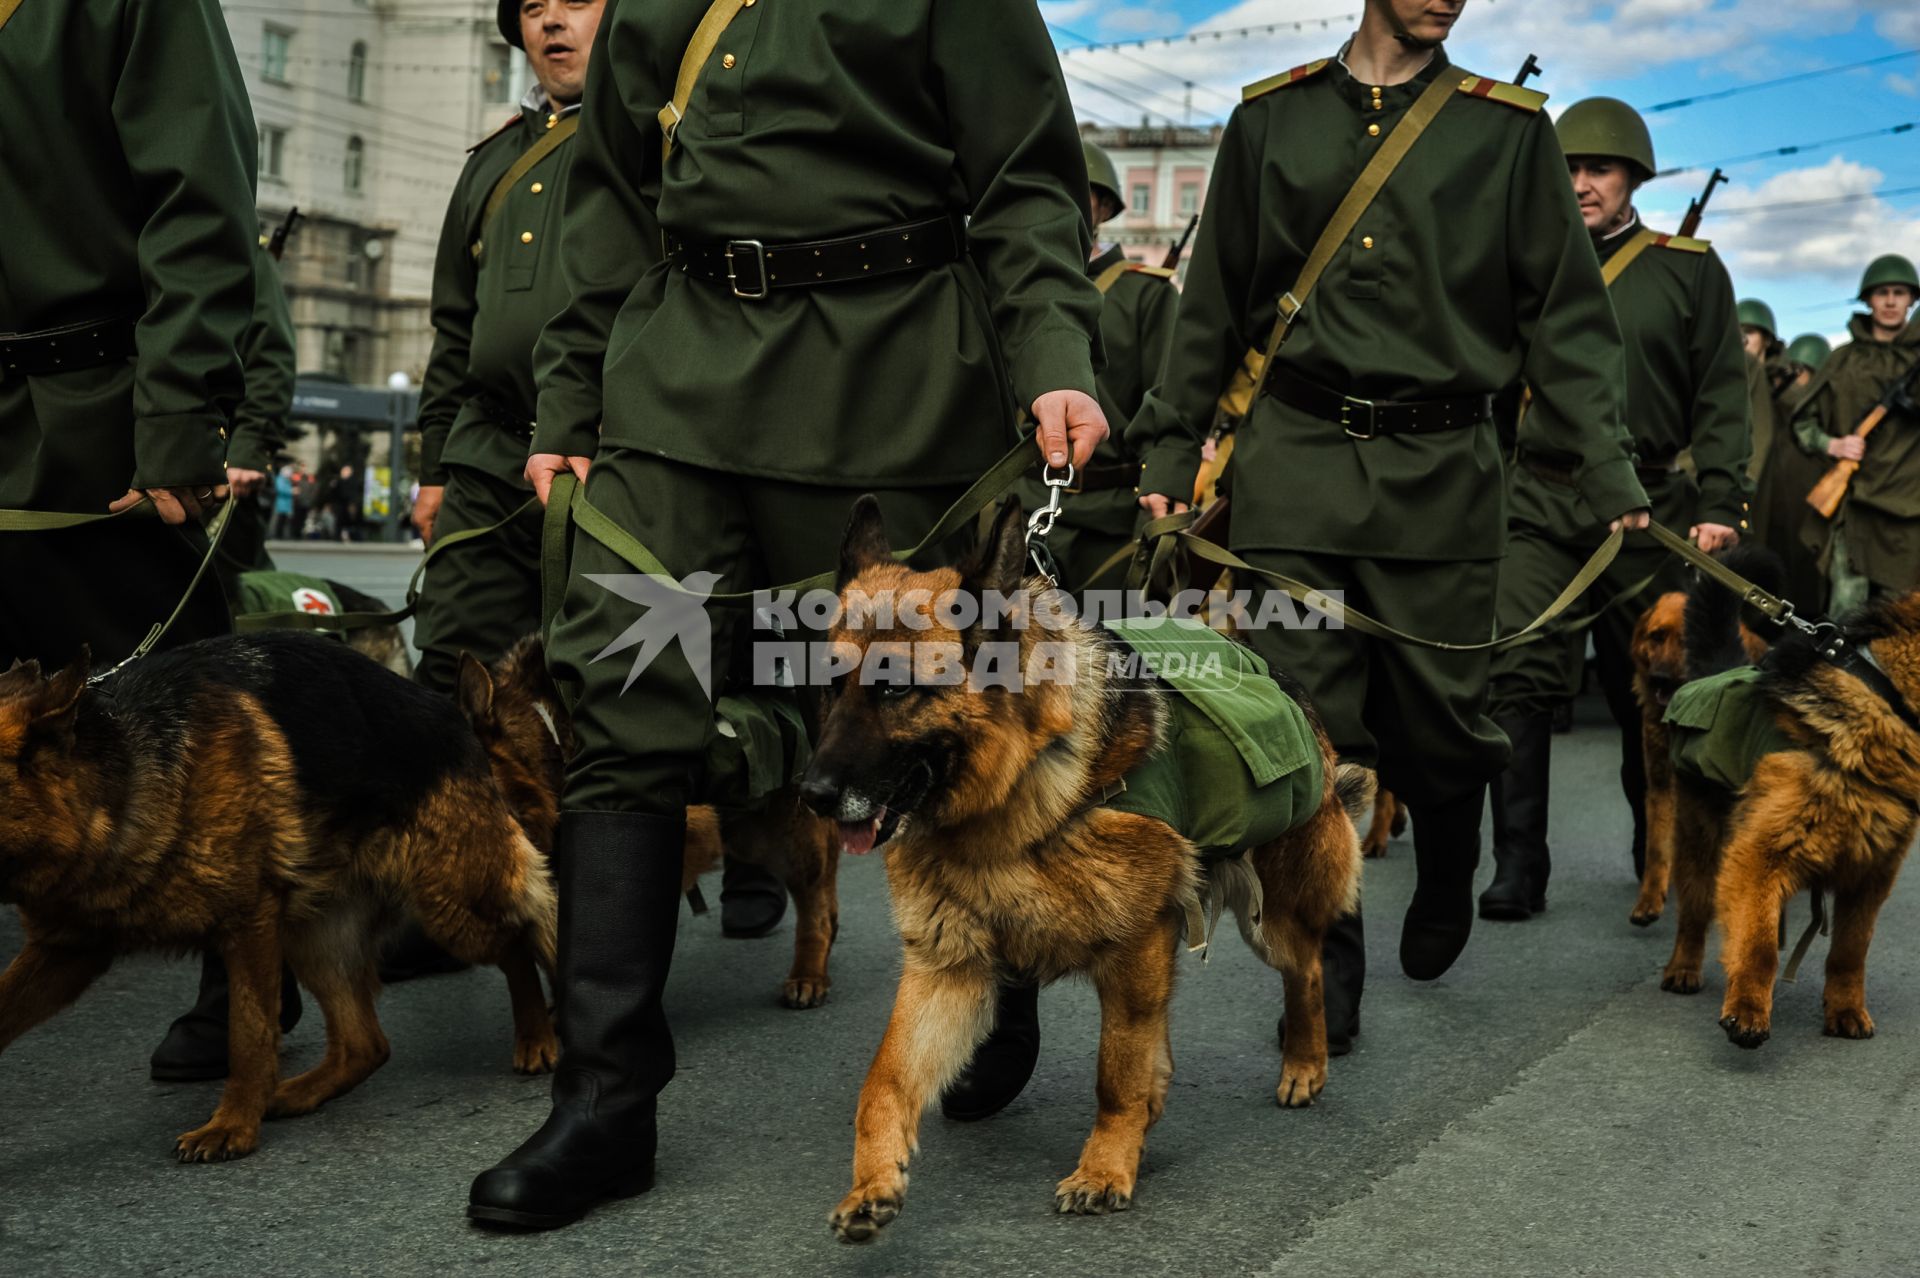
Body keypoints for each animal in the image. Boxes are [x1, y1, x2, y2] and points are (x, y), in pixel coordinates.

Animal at [0, 633, 556, 1159]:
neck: (118, 780)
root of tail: (452, 713)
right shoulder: (66, 950)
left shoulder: (247, 925)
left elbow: (248, 1035)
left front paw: (232, 1127)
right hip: (317, 936)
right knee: (366, 1044)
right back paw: (299, 1092)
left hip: (452, 907)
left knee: (518, 941)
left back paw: (536, 1036)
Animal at [802, 495, 1374, 1235]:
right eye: (829, 689)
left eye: (895, 692)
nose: (811, 796)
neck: (1013, 796)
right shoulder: (945, 968)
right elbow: (884, 1082)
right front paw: (873, 1182)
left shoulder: (1134, 949)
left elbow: (1115, 1074)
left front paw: (1105, 1167)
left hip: (1268, 920)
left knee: (1305, 967)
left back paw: (1305, 1063)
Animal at [1635, 541, 1781, 921]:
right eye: (1656, 637)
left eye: (1684, 640)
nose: (1658, 679)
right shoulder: (1662, 785)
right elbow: (1657, 847)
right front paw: (1649, 899)